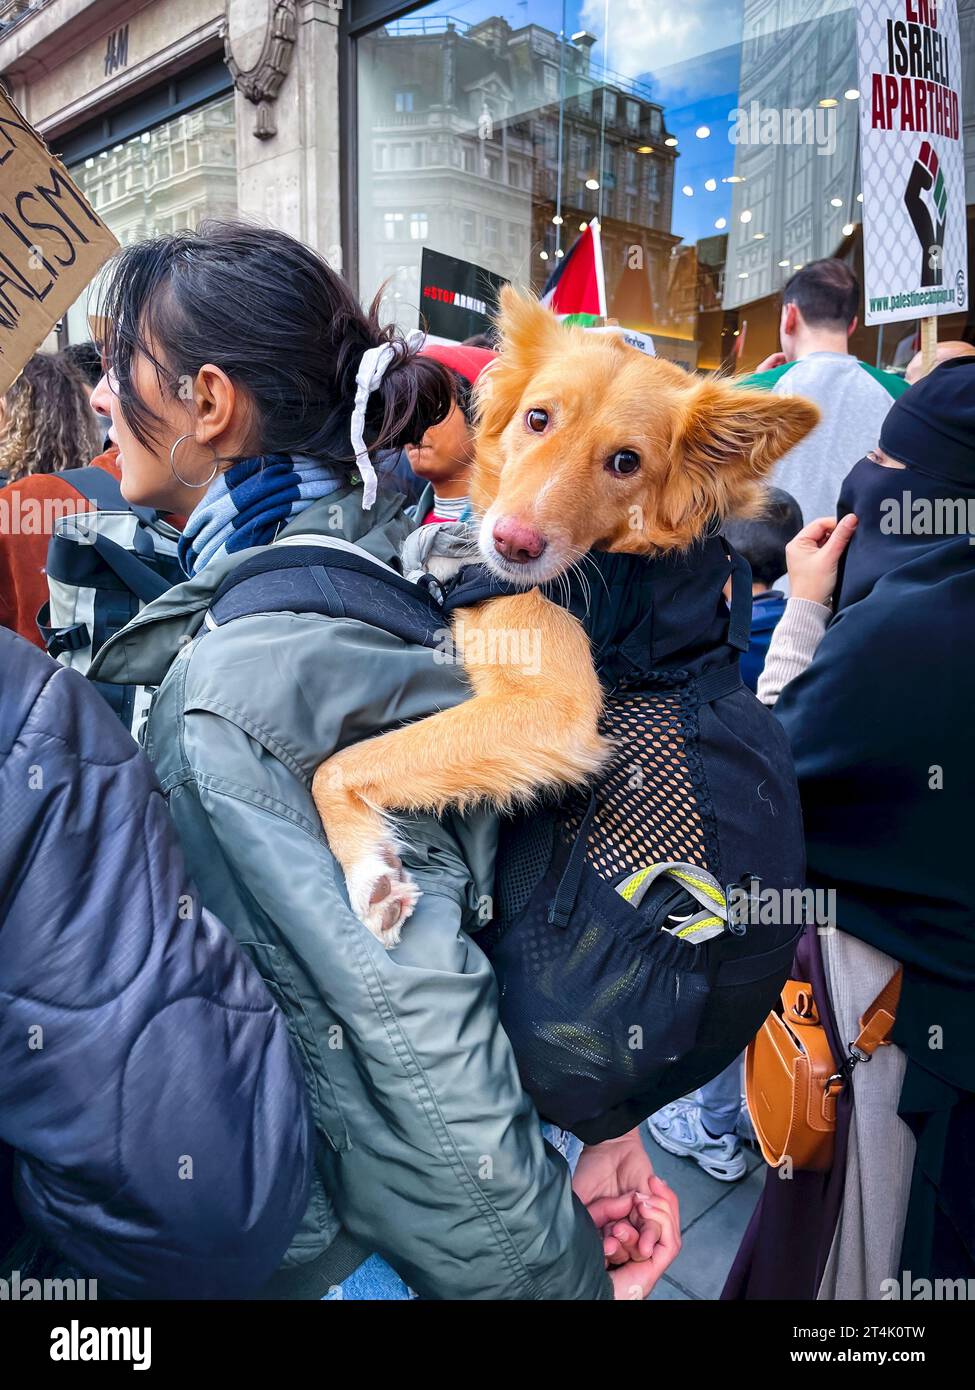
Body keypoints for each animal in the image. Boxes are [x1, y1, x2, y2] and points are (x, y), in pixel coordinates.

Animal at [311, 291, 812, 945]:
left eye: (626, 462)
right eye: (538, 419)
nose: (512, 544)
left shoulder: (552, 711)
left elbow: (336, 765)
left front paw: (368, 870)